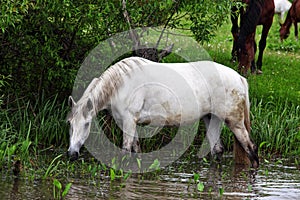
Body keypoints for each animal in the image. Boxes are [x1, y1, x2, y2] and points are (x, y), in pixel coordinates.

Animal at [67, 57, 258, 168]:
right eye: (70, 124)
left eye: (86, 124)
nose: (71, 154)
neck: (121, 84)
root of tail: (239, 77)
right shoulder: (128, 123)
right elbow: (136, 150)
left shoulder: (128, 122)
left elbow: (126, 151)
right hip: (212, 118)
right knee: (217, 150)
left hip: (235, 122)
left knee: (250, 148)